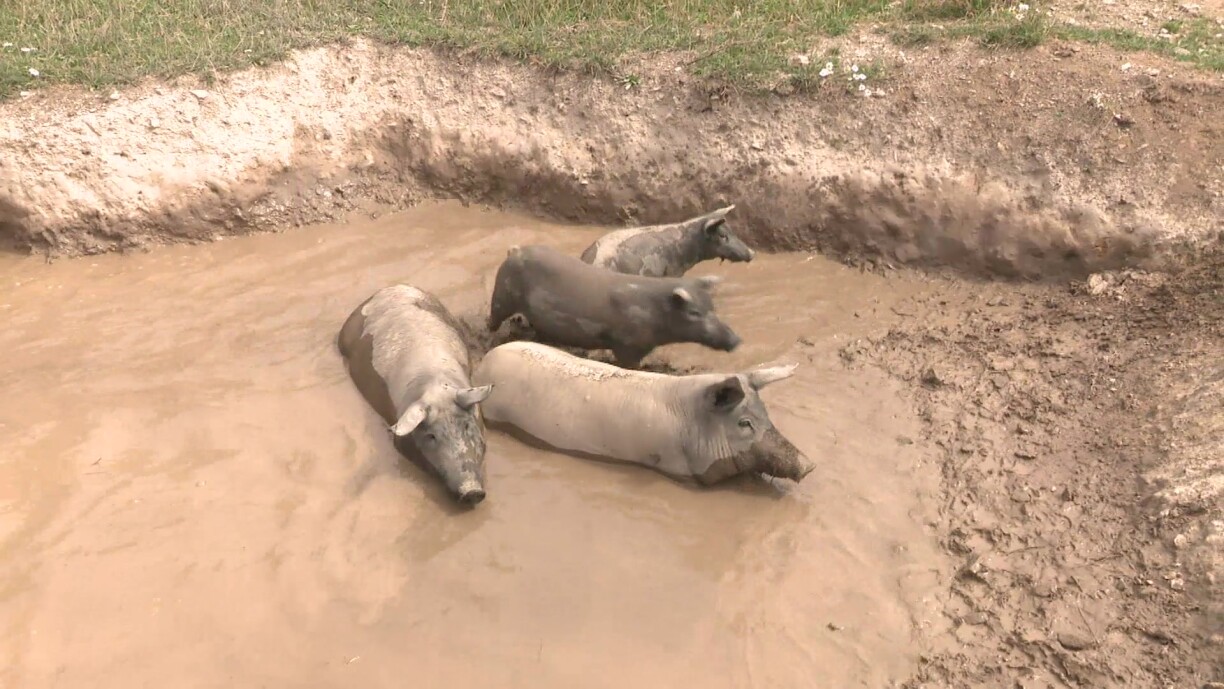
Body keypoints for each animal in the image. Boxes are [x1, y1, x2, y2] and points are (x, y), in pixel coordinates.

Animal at [487, 244, 742, 369]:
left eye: (713, 308)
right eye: (694, 312)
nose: (736, 339)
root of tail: (515, 250)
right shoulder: (625, 344)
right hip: (502, 295)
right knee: (493, 320)